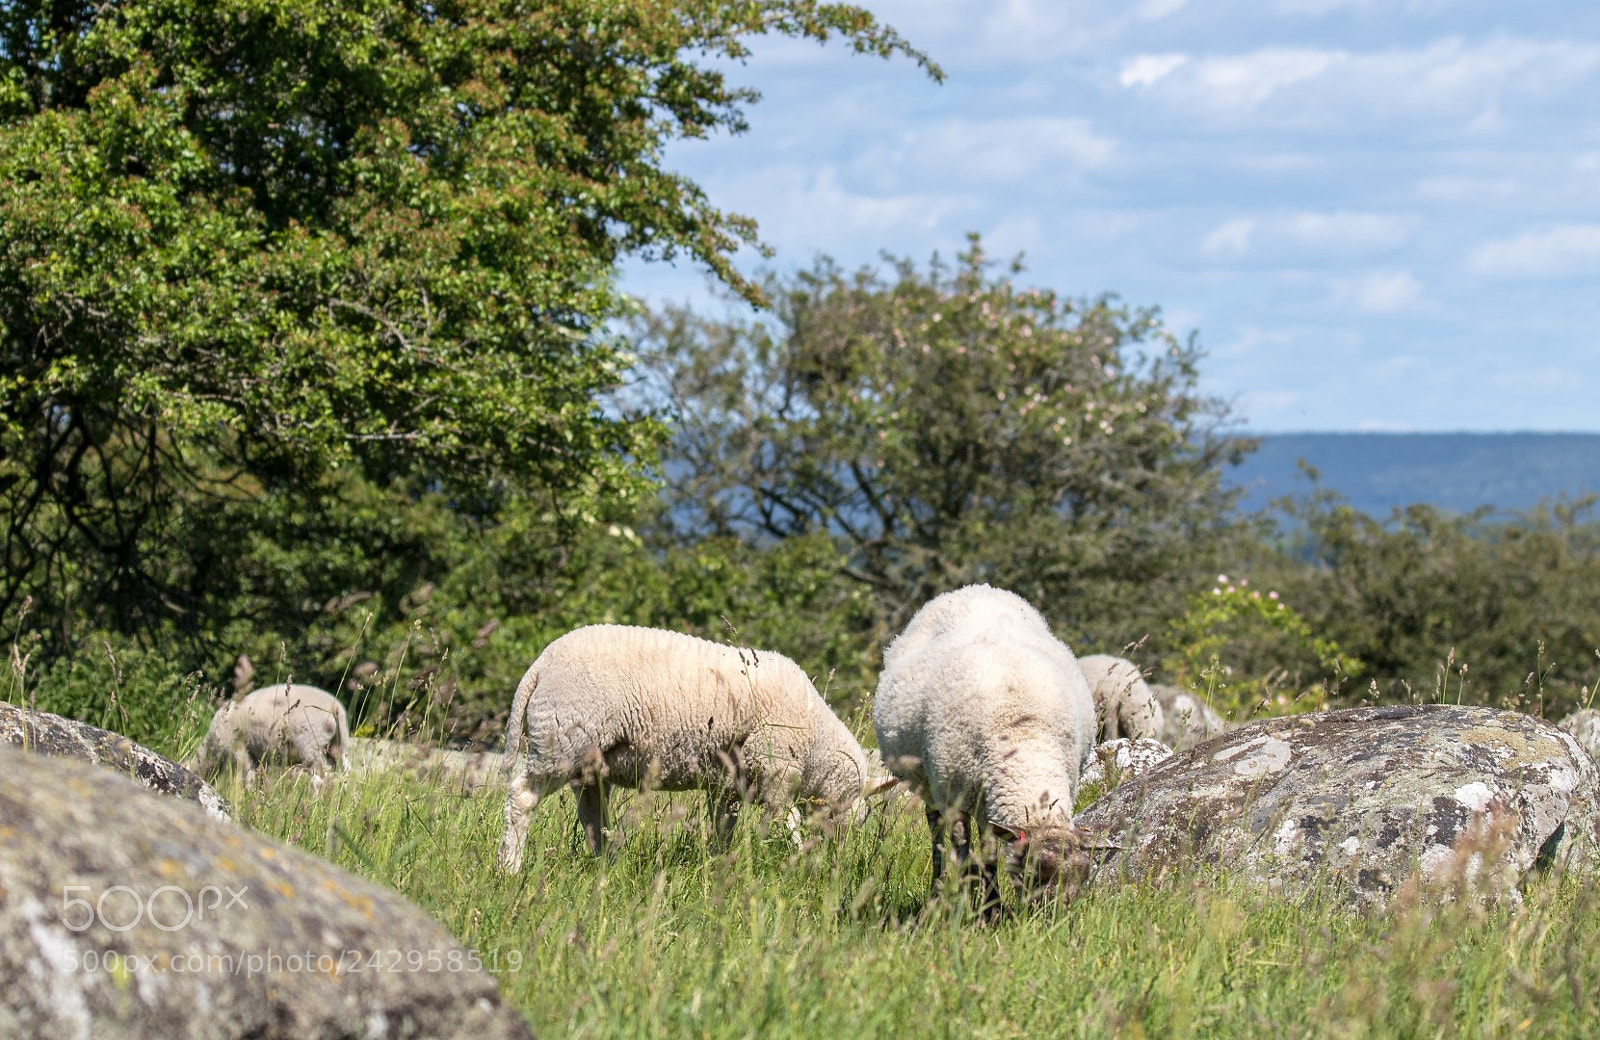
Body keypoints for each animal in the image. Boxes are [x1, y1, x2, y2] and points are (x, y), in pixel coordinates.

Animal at [193, 683, 350, 790]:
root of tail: (336, 707)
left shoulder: (241, 751)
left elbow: (247, 779)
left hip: (310, 744)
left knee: (321, 779)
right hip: (337, 747)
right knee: (343, 776)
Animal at [496, 624, 889, 870]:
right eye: (863, 817)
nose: (839, 856)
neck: (817, 750)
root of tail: (539, 666)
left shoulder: (730, 783)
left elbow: (723, 827)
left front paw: (717, 864)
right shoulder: (776, 769)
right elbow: (785, 820)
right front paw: (800, 856)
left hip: (589, 763)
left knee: (593, 816)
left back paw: (605, 865)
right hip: (562, 742)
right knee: (521, 798)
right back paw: (509, 867)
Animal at [873, 584, 1101, 909]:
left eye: (1083, 876)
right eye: (1034, 872)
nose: (1058, 917)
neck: (1025, 738)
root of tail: (976, 588)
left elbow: (989, 850)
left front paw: (991, 905)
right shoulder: (953, 797)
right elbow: (965, 851)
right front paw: (979, 905)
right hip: (933, 786)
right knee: (938, 836)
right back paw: (940, 890)